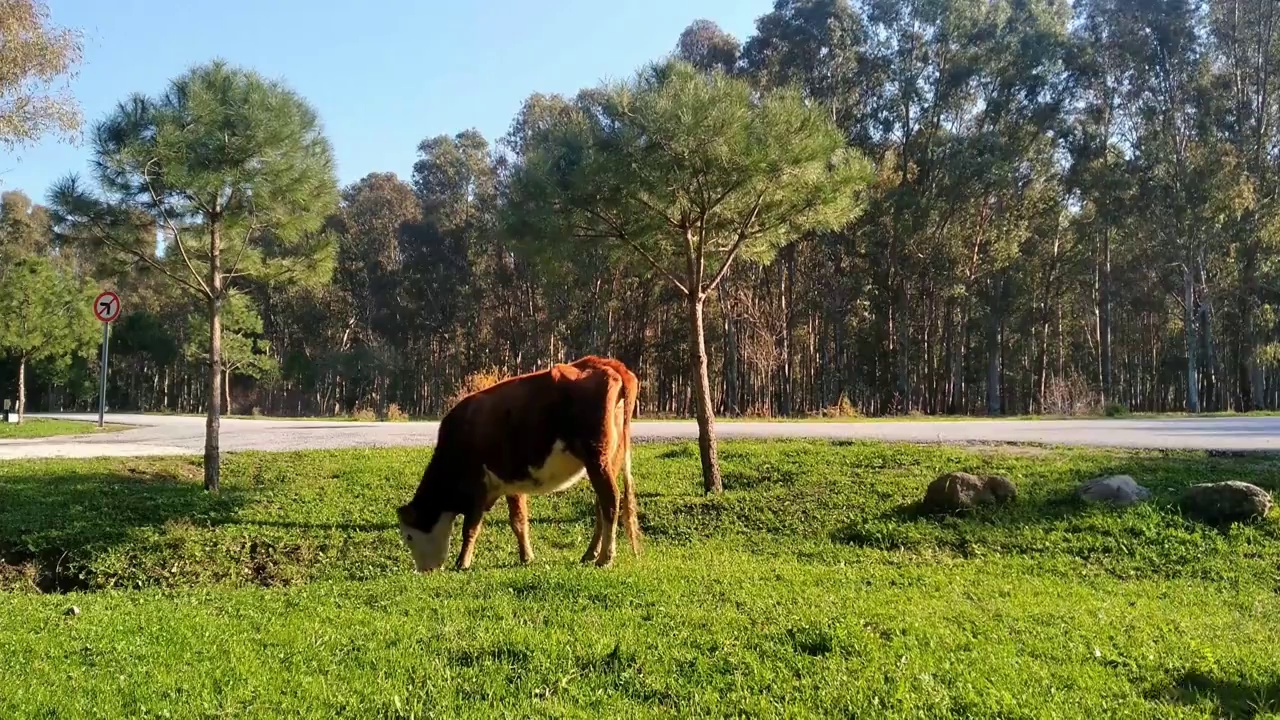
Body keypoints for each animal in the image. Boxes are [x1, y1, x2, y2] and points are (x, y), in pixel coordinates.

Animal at [394, 353, 640, 571]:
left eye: (409, 536)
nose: (423, 570)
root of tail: (605, 363)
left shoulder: (477, 486)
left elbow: (471, 527)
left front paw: (462, 562)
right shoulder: (511, 481)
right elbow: (518, 520)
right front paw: (526, 557)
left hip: (597, 458)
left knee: (610, 500)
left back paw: (605, 558)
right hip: (609, 459)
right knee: (602, 504)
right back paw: (590, 554)